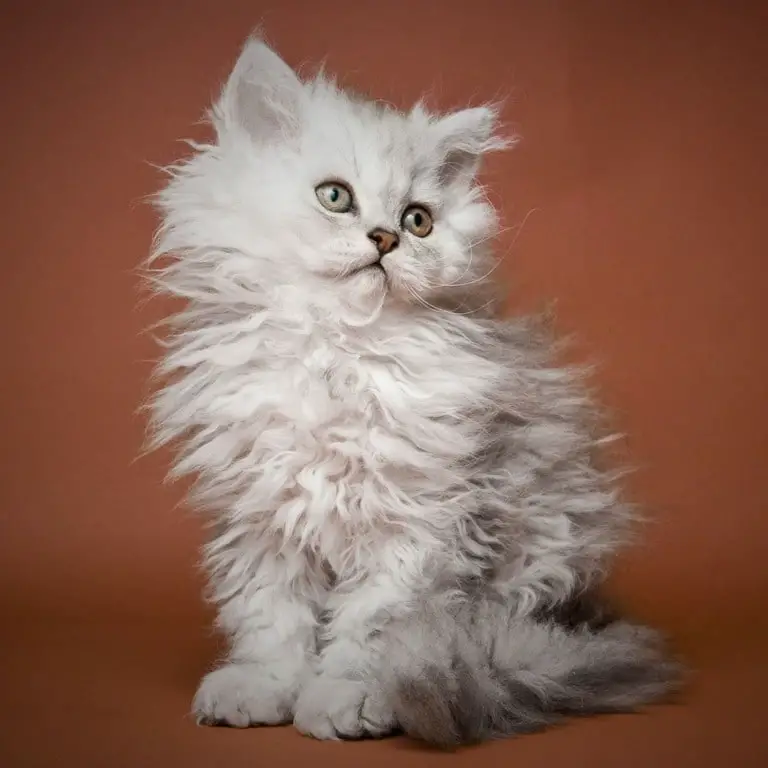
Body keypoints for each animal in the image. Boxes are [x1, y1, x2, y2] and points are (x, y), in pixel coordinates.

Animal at [147, 37, 680, 752]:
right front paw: (263, 687)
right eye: (335, 197)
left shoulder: (417, 525)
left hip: (536, 559)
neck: (339, 351)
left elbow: (372, 627)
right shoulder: (264, 519)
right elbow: (271, 616)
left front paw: (349, 697)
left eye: (418, 220)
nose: (386, 238)